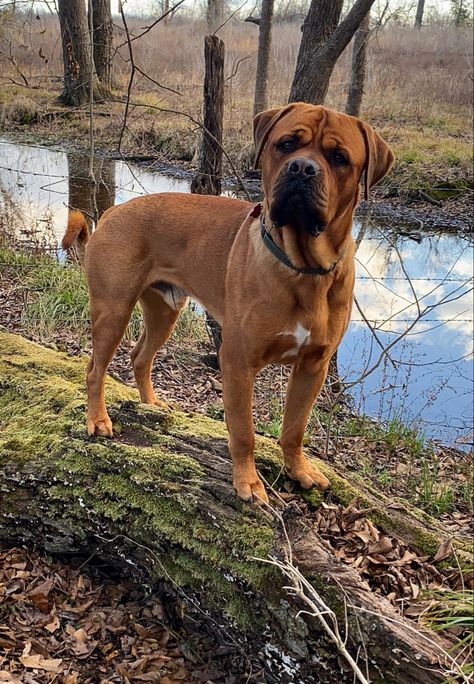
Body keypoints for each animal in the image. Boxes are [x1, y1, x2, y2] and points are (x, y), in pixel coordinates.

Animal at [64, 104, 396, 504]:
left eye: (339, 157)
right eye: (286, 144)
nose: (301, 168)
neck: (302, 267)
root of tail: (112, 212)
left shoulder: (313, 367)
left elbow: (295, 428)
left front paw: (299, 470)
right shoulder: (238, 361)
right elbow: (243, 431)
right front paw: (247, 481)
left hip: (164, 311)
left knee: (140, 356)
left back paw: (151, 403)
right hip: (113, 309)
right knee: (94, 369)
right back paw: (98, 419)